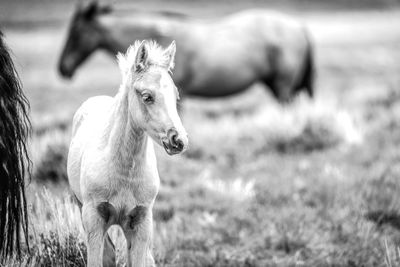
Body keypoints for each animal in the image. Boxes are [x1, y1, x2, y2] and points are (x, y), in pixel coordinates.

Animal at [67, 40, 188, 267]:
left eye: (175, 96)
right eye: (147, 96)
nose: (179, 140)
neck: (124, 173)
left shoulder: (141, 220)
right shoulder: (93, 219)